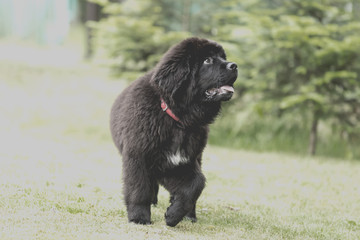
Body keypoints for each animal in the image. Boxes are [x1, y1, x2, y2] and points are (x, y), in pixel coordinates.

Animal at [111, 37, 238, 227]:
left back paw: (189, 215)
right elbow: (139, 188)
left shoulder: (182, 161)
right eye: (207, 60)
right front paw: (139, 217)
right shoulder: (139, 155)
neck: (178, 120)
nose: (234, 65)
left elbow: (196, 183)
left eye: (223, 57)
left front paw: (173, 215)